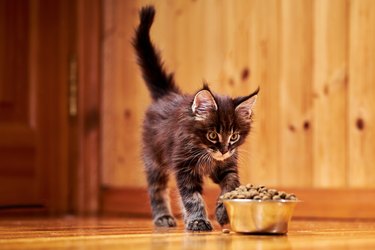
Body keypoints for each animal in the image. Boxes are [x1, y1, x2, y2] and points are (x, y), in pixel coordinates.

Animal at [132, 5, 258, 232]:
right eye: (212, 135)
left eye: (234, 136)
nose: (223, 150)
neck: (206, 154)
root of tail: (167, 94)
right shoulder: (183, 167)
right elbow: (191, 197)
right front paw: (198, 220)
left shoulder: (227, 166)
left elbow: (230, 186)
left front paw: (223, 211)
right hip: (154, 158)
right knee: (157, 188)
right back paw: (163, 217)